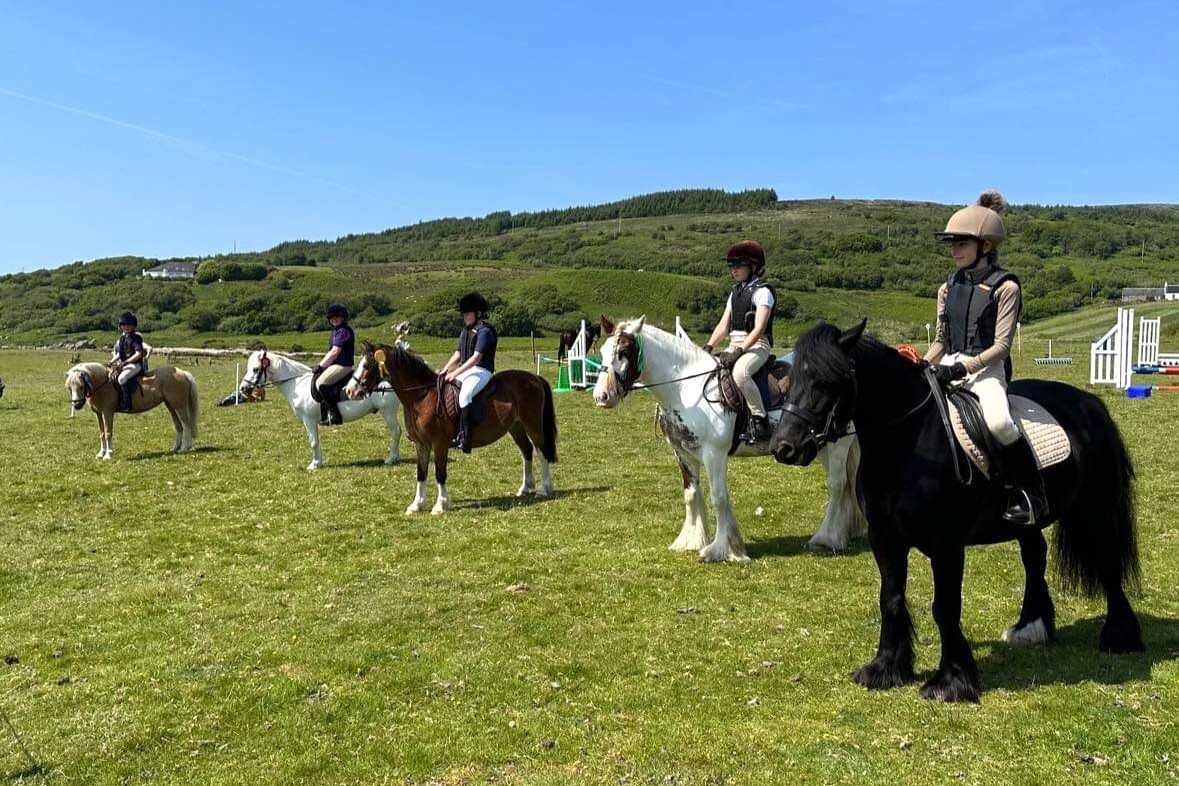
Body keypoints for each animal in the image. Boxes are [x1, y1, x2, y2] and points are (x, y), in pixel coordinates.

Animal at [65, 362, 200, 461]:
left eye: (81, 386)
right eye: (69, 388)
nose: (76, 404)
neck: (103, 384)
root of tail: (183, 372)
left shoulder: (107, 413)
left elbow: (108, 433)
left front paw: (108, 455)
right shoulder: (99, 414)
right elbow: (102, 433)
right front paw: (101, 454)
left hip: (179, 405)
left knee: (186, 424)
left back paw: (185, 447)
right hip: (171, 406)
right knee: (178, 426)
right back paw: (175, 448)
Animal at [236, 351, 403, 473]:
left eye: (255, 369)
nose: (243, 388)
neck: (297, 384)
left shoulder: (308, 420)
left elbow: (313, 442)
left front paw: (314, 465)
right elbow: (316, 441)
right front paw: (319, 462)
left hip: (388, 411)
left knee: (396, 431)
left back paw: (391, 458)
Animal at [344, 339, 556, 513]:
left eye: (366, 365)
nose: (350, 391)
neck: (422, 397)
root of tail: (534, 378)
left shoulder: (439, 444)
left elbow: (440, 473)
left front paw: (440, 505)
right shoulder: (421, 445)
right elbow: (421, 473)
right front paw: (416, 505)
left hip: (533, 424)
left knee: (541, 451)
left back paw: (544, 489)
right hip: (516, 426)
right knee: (527, 451)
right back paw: (525, 488)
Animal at [594, 315, 863, 563]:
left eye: (624, 352)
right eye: (602, 352)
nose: (602, 396)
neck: (685, 388)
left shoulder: (714, 454)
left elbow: (719, 498)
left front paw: (722, 549)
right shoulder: (683, 453)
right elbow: (691, 494)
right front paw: (691, 541)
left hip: (837, 445)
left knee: (837, 485)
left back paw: (827, 538)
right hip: (820, 446)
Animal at [763, 322, 1141, 702]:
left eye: (828, 381)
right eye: (791, 380)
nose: (784, 447)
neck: (907, 443)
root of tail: (1089, 403)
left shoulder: (946, 545)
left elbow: (944, 608)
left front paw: (951, 681)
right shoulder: (884, 539)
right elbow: (890, 599)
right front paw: (885, 668)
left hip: (1096, 507)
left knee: (1108, 564)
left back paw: (1119, 637)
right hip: (1028, 523)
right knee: (1035, 556)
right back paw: (1030, 627)